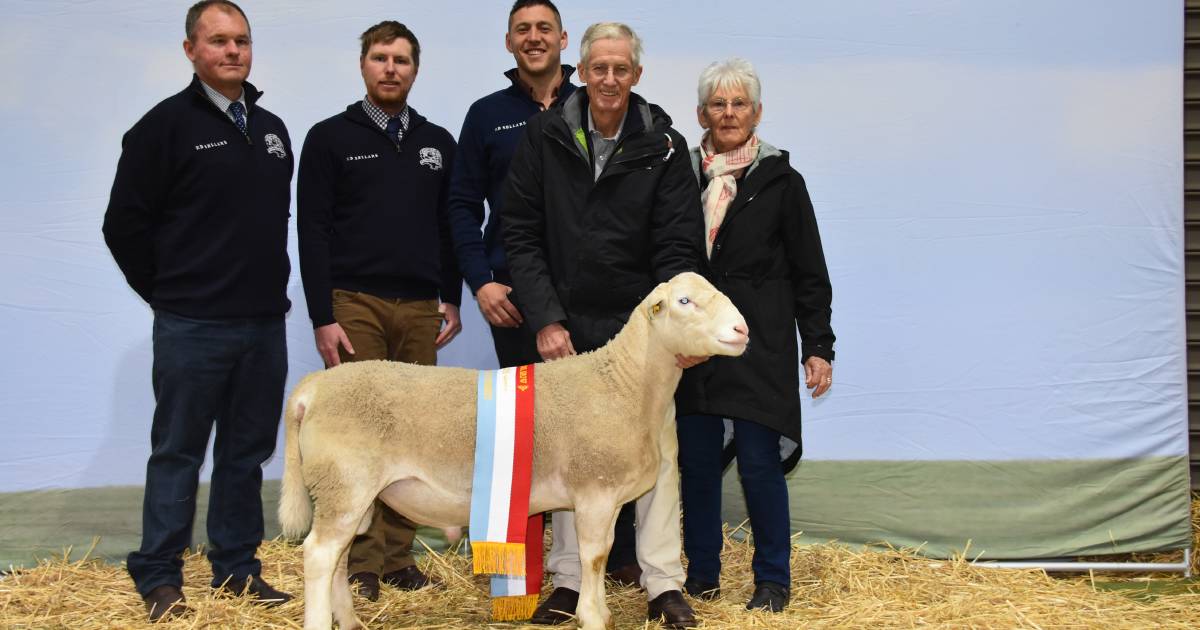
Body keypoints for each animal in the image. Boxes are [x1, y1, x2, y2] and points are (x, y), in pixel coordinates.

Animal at [280, 270, 748, 628]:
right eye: (684, 301)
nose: (742, 330)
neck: (624, 383)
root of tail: (312, 388)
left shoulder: (610, 497)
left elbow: (602, 554)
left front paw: (598, 612)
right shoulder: (594, 492)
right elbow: (594, 556)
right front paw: (593, 617)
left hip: (344, 492)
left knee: (338, 557)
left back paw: (350, 620)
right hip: (345, 483)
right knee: (319, 555)